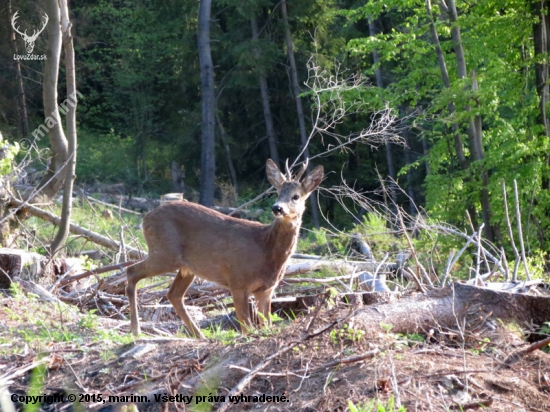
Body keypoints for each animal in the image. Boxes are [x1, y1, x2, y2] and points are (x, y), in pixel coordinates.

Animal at [126, 159, 324, 338]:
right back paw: (136, 330)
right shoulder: (237, 281)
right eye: (277, 192)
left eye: (296, 196)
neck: (266, 249)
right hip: (164, 253)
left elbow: (266, 324)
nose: (277, 208)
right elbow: (247, 328)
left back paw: (200, 336)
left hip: (186, 267)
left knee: (173, 294)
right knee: (131, 271)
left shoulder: (266, 290)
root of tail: (145, 219)